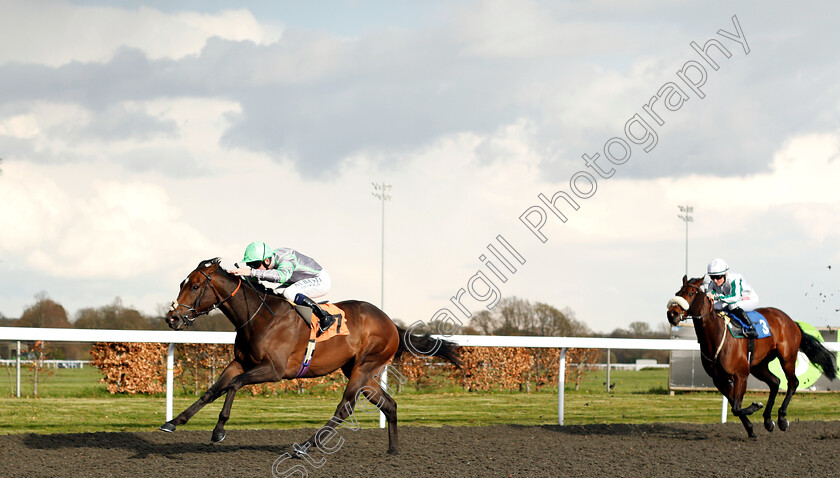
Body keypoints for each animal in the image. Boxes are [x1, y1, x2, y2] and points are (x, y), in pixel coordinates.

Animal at [158, 258, 460, 456]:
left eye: (195, 287)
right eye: (183, 283)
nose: (172, 318)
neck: (259, 317)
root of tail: (391, 324)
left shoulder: (274, 370)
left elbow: (233, 385)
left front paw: (219, 430)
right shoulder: (239, 362)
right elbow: (211, 391)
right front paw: (173, 422)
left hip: (365, 366)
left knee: (345, 408)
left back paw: (305, 445)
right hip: (360, 371)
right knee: (389, 404)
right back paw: (393, 451)